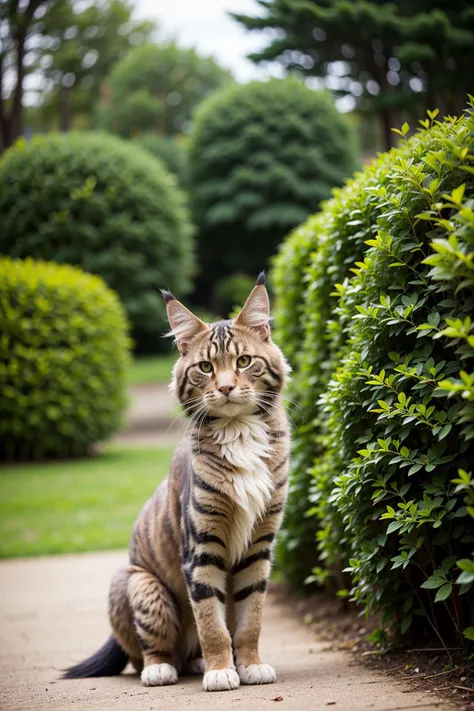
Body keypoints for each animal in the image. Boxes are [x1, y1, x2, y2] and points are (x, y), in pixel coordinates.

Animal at [64, 274, 290, 696]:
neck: (239, 432)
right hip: (141, 584)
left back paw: (199, 662)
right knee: (150, 653)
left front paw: (250, 665)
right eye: (205, 366)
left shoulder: (259, 546)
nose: (226, 388)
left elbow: (249, 620)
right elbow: (211, 622)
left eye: (244, 361)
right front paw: (221, 671)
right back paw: (162, 669)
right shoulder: (202, 546)